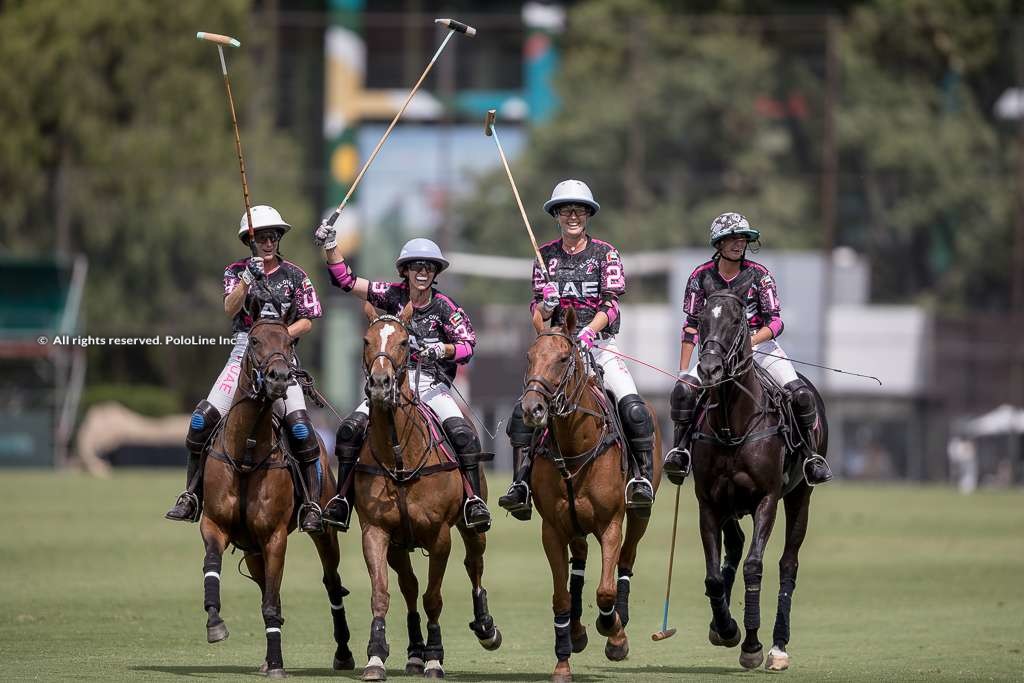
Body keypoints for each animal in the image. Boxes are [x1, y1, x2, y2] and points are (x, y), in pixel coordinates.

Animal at [197, 321, 354, 679]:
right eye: (254, 340)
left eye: (290, 342)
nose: (280, 377)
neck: (247, 451)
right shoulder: (214, 523)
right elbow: (212, 565)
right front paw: (214, 622)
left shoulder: (274, 536)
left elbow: (271, 602)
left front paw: (278, 665)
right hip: (252, 550)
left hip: (323, 531)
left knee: (331, 582)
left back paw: (343, 653)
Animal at [356, 307, 503, 679]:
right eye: (366, 340)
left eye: (403, 342)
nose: (380, 385)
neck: (399, 455)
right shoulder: (376, 531)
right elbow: (382, 594)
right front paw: (376, 656)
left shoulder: (439, 536)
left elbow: (433, 598)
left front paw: (436, 658)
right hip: (398, 545)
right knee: (408, 586)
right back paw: (413, 653)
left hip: (471, 526)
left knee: (474, 564)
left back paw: (485, 627)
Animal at [520, 309, 663, 683]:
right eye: (529, 357)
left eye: (563, 358)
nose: (532, 409)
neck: (575, 446)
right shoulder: (552, 530)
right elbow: (560, 597)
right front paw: (562, 662)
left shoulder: (610, 523)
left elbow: (605, 590)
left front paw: (614, 634)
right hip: (574, 523)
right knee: (579, 564)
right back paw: (576, 631)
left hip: (639, 512)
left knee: (627, 557)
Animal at [688, 278, 823, 671]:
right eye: (702, 319)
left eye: (737, 321)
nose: (710, 370)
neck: (733, 424)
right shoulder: (708, 501)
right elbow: (713, 575)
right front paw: (726, 628)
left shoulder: (768, 498)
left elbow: (754, 566)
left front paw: (752, 645)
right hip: (731, 505)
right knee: (733, 545)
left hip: (800, 496)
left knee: (788, 563)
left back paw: (778, 647)